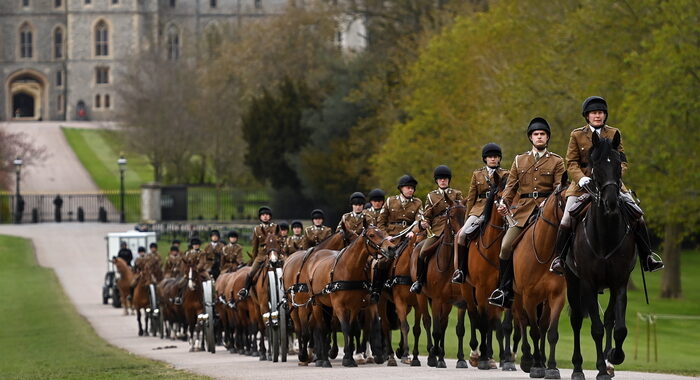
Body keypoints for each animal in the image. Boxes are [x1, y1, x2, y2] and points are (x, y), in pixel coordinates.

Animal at [304, 227, 394, 366]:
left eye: (383, 233)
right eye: (371, 235)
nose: (391, 248)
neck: (348, 269)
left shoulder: (357, 306)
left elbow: (354, 328)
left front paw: (353, 355)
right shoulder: (339, 306)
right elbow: (345, 327)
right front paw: (348, 358)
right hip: (316, 303)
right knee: (321, 327)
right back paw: (322, 359)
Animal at [412, 196, 468, 368]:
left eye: (466, 213)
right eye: (451, 215)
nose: (461, 236)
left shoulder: (460, 301)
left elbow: (459, 329)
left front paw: (460, 359)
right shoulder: (436, 299)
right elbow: (435, 330)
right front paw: (434, 353)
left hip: (447, 302)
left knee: (443, 323)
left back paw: (440, 356)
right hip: (422, 297)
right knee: (427, 322)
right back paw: (432, 355)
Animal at [460, 171, 516, 368]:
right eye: (500, 196)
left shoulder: (502, 292)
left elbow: (501, 325)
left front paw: (503, 358)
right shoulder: (482, 288)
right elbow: (483, 321)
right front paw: (483, 357)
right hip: (467, 289)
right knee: (474, 316)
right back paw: (477, 354)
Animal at [512, 175, 572, 378]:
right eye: (566, 199)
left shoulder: (557, 296)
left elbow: (551, 332)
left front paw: (551, 367)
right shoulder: (529, 298)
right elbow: (534, 332)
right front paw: (535, 365)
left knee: (543, 325)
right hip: (517, 297)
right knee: (522, 322)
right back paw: (527, 359)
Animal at [564, 131, 636, 380]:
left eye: (617, 164)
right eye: (595, 166)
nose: (611, 202)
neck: (605, 234)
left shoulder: (619, 282)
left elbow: (618, 326)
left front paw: (614, 356)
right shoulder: (587, 282)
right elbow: (595, 328)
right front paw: (601, 369)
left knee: (608, 320)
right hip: (572, 281)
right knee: (576, 320)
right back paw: (577, 368)